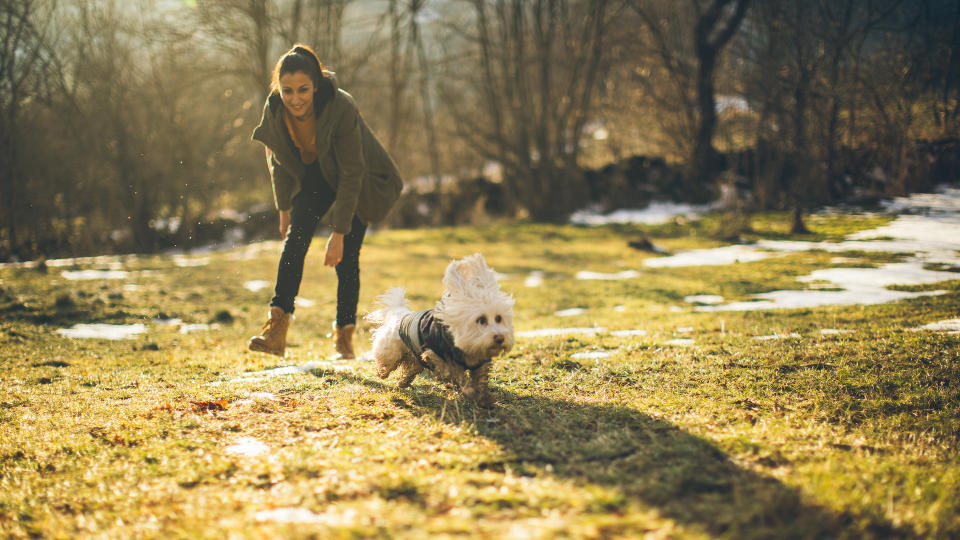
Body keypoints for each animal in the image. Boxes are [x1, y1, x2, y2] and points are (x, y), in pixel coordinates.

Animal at [368, 253, 516, 404]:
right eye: (481, 320)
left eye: (499, 318)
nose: (500, 338)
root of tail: (401, 313)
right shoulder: (435, 357)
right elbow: (457, 376)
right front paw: (470, 392)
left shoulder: (480, 364)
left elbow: (479, 379)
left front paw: (484, 399)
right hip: (391, 352)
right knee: (386, 366)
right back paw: (382, 373)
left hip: (414, 359)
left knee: (409, 371)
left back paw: (403, 382)